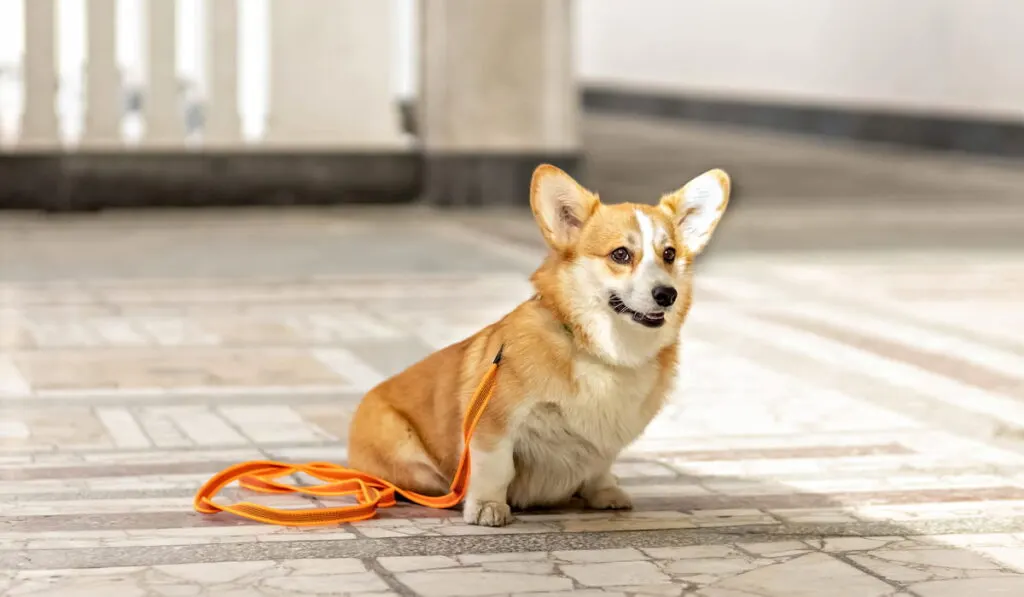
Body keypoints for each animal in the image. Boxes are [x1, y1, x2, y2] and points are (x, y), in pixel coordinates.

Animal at [348, 163, 733, 528]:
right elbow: (497, 468)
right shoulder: (495, 423)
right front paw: (487, 506)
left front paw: (604, 492)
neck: (601, 351)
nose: (667, 295)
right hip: (406, 453)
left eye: (669, 254)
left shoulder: (605, 439)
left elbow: (600, 466)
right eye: (621, 254)